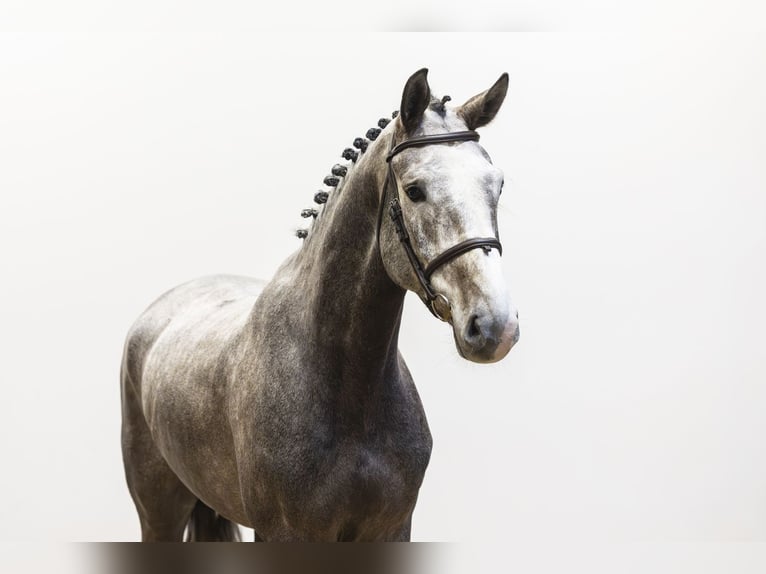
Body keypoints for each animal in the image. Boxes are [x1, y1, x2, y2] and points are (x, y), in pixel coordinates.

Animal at [120, 68, 520, 542]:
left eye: (497, 185)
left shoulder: (392, 530)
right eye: (414, 190)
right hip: (159, 510)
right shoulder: (284, 533)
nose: (495, 326)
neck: (348, 392)